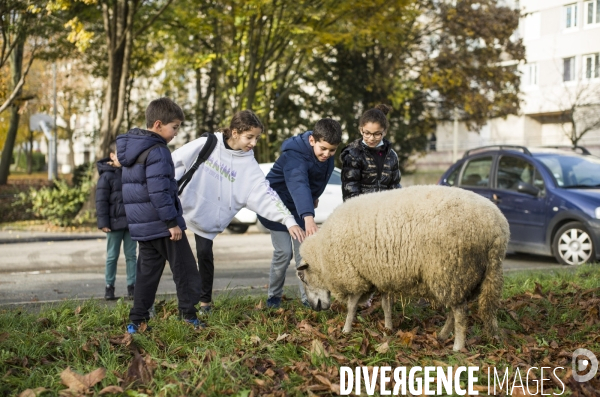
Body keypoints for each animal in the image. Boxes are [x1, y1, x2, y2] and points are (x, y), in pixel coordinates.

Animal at [298, 183, 508, 350]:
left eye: (304, 279)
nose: (314, 308)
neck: (322, 255)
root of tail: (498, 228)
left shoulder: (355, 276)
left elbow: (351, 307)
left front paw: (346, 329)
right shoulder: (381, 275)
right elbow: (386, 305)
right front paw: (388, 328)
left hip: (452, 270)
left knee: (461, 313)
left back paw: (457, 346)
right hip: (467, 276)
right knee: (454, 311)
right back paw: (442, 336)